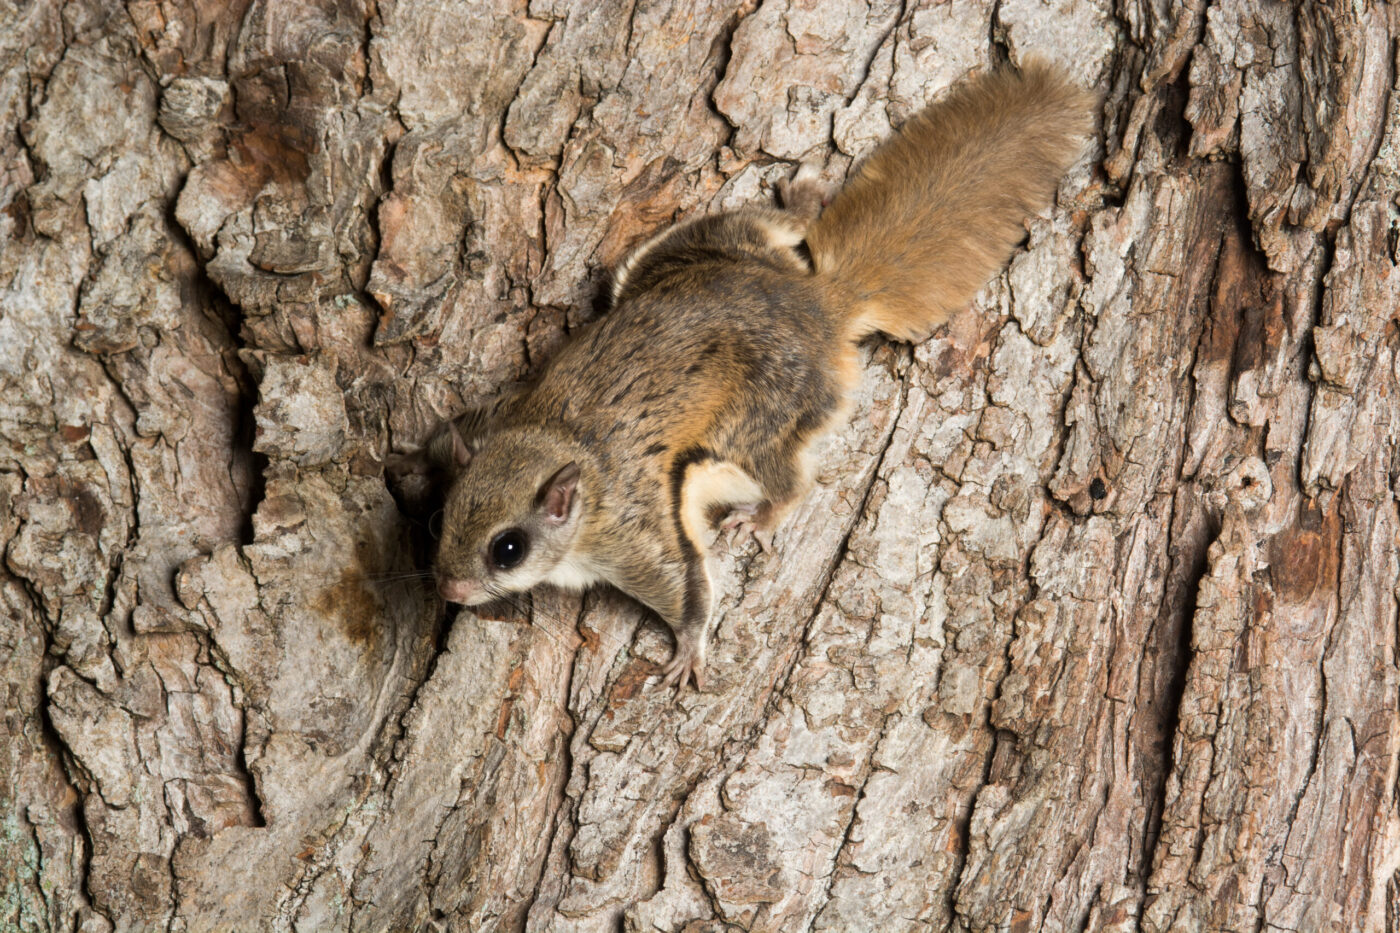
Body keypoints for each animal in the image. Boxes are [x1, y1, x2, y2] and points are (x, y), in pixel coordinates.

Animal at [420, 60, 1094, 690]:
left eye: (508, 549)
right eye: (441, 517)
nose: (449, 592)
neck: (555, 445)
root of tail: (820, 305)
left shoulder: (634, 531)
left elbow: (684, 585)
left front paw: (687, 652)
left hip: (761, 418)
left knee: (790, 480)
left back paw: (764, 515)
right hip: (691, 249)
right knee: (772, 229)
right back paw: (799, 201)